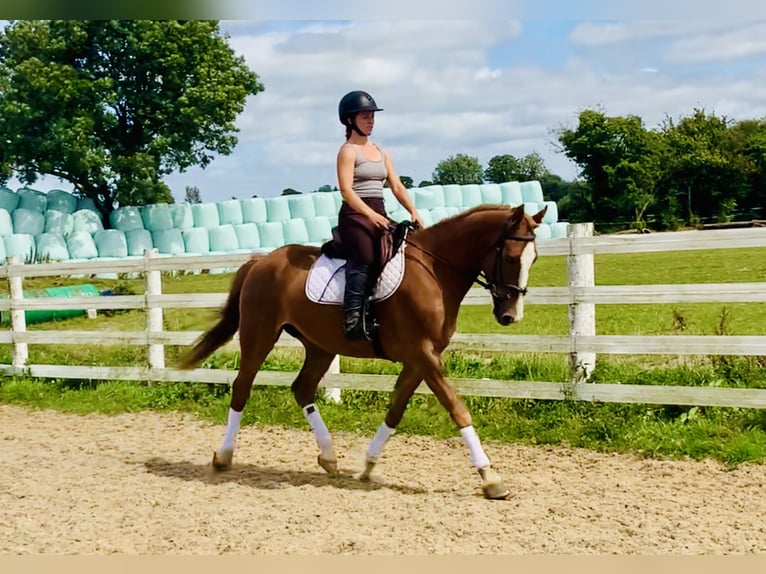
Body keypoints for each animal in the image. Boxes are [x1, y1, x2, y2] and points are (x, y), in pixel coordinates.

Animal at [182, 205, 544, 502]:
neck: (434, 271)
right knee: (242, 387)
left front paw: (368, 466)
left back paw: (329, 457)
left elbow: (396, 410)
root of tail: (261, 261)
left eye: (535, 259)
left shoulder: (420, 359)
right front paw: (491, 478)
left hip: (320, 346)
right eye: (511, 258)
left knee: (302, 388)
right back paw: (224, 456)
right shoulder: (423, 354)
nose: (510, 316)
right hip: (259, 335)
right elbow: (457, 408)